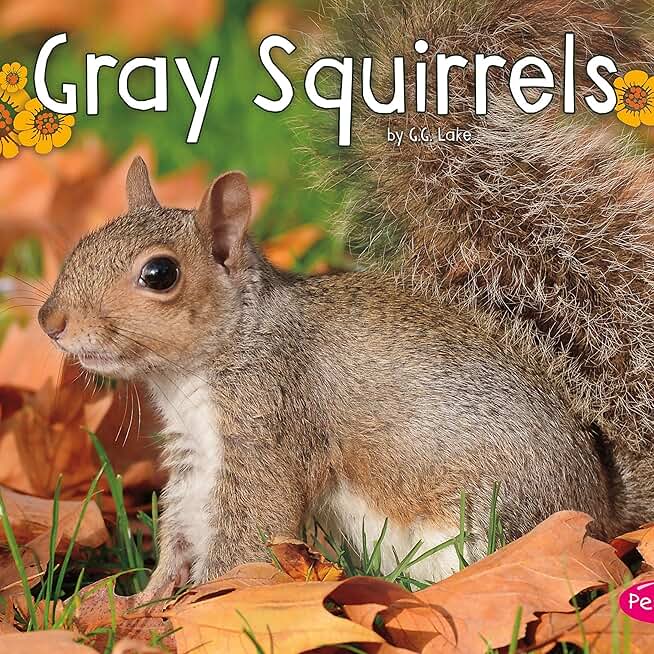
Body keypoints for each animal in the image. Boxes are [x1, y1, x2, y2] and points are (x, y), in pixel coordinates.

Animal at [38, 0, 654, 599]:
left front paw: (191, 607)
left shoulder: (271, 419)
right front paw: (147, 598)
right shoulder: (195, 453)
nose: (51, 321)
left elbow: (249, 532)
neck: (220, 350)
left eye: (160, 273)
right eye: (85, 239)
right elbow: (184, 526)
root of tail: (602, 510)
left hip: (496, 517)